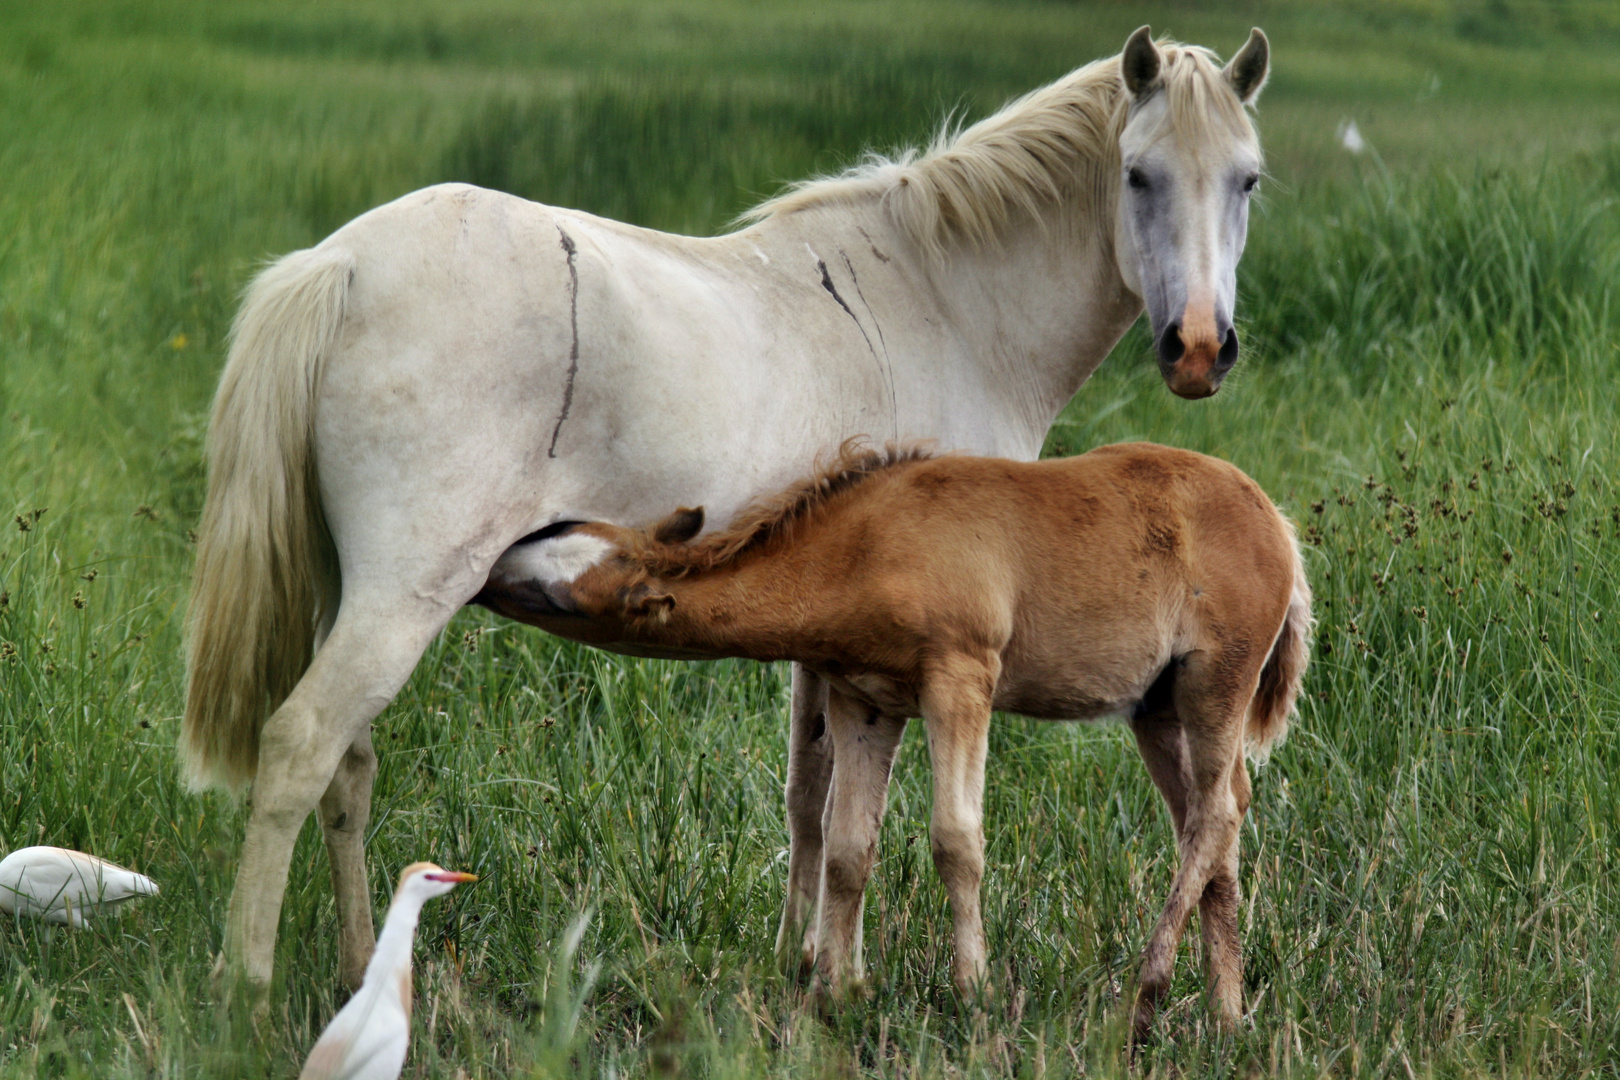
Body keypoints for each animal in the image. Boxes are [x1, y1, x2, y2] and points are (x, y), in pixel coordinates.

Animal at [186, 25, 1263, 990]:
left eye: (1247, 179)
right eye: (1138, 175)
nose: (1198, 350)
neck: (947, 304)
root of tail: (344, 265)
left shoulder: (831, 632)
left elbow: (811, 800)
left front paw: (803, 961)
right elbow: (856, 812)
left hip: (352, 595)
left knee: (348, 770)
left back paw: (359, 969)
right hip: (404, 596)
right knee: (300, 747)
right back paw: (246, 987)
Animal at [473, 440, 1308, 1036]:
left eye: (552, 596)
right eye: (553, 528)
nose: (481, 574)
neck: (864, 547)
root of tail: (1278, 523)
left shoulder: (960, 678)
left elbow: (955, 838)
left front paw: (972, 993)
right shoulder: (862, 701)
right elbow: (848, 847)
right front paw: (836, 992)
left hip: (1214, 684)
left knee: (1216, 811)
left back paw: (1146, 995)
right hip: (1155, 708)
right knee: (1213, 813)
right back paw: (1226, 1014)